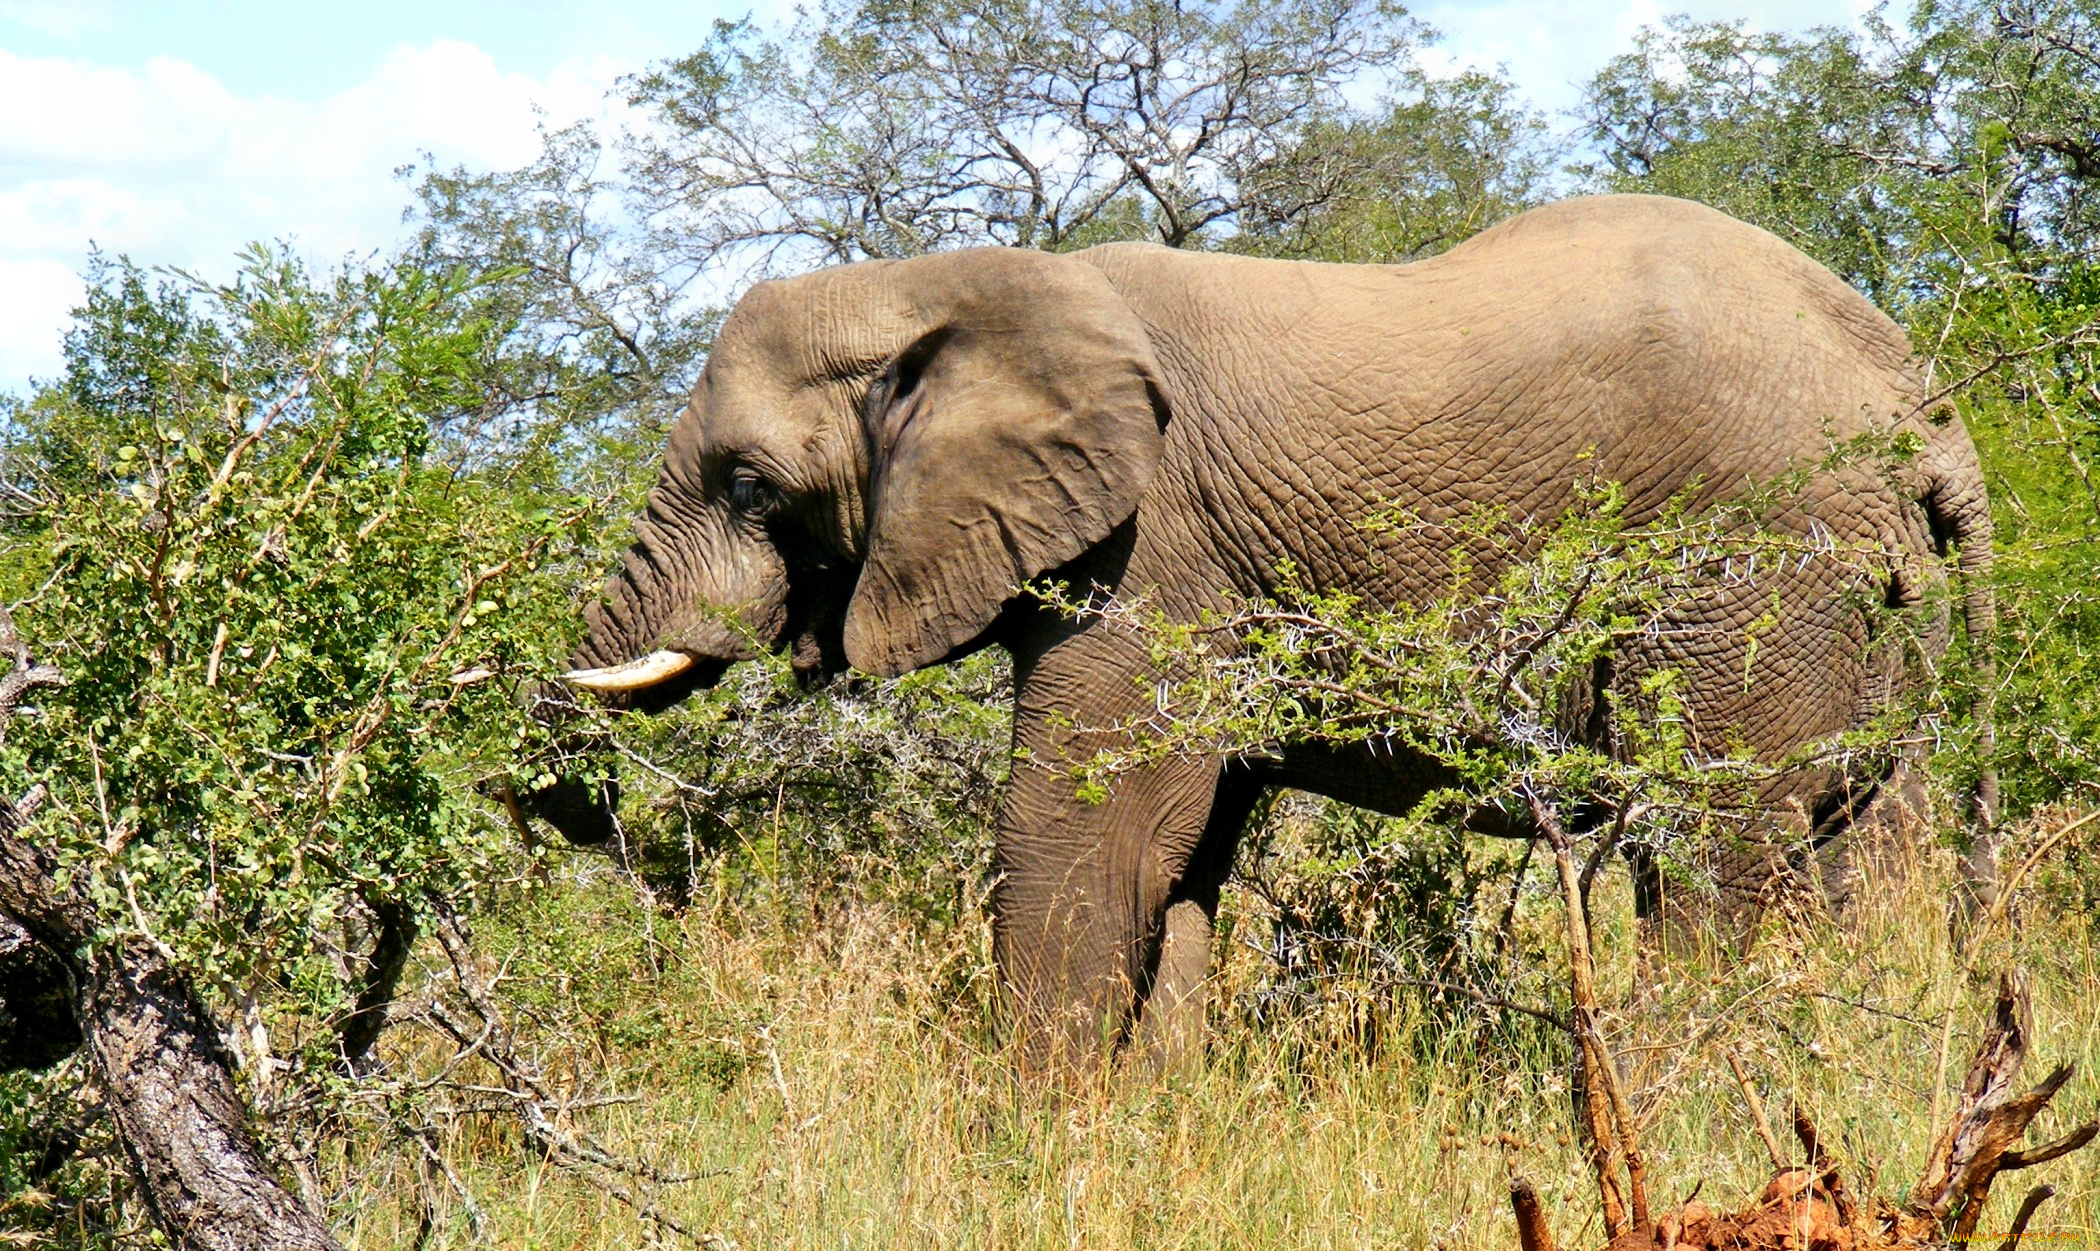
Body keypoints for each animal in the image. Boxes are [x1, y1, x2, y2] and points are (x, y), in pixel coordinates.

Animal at [525, 195, 1982, 1074]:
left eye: (748, 485)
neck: (958, 285)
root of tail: (1920, 401)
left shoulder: (1150, 551)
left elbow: (1087, 832)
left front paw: (1033, 1147)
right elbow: (1182, 856)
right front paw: (1153, 1119)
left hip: (1751, 557)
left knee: (1711, 849)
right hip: (1867, 594)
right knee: (1871, 840)